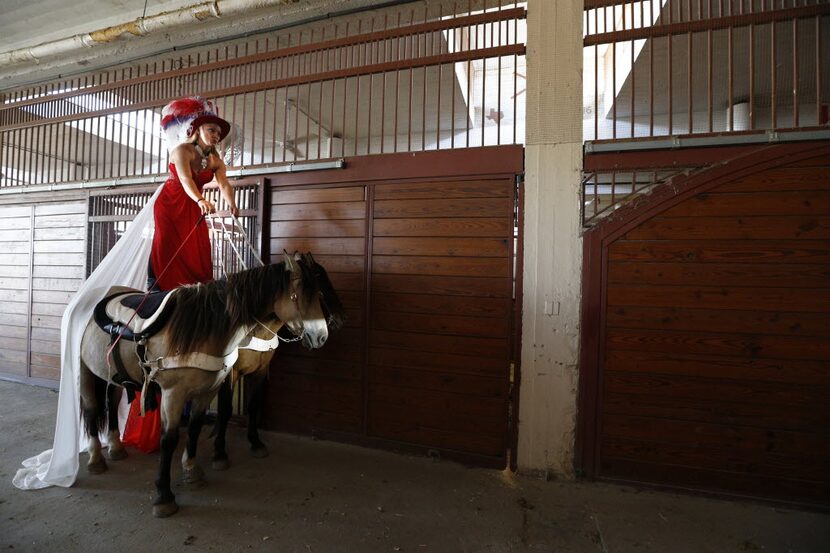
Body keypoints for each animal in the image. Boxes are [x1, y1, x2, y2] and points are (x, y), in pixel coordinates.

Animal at [76, 252, 326, 516]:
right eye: (297, 296)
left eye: (319, 293)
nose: (321, 336)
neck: (202, 330)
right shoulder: (173, 394)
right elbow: (169, 439)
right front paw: (164, 495)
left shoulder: (208, 391)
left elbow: (195, 427)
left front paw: (192, 472)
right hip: (84, 372)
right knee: (92, 410)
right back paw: (95, 459)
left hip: (112, 377)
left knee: (111, 406)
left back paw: (115, 448)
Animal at [211, 252, 348, 468]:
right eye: (319, 292)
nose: (341, 319)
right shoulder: (228, 374)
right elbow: (225, 409)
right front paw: (219, 452)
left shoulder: (260, 370)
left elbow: (253, 405)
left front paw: (255, 442)